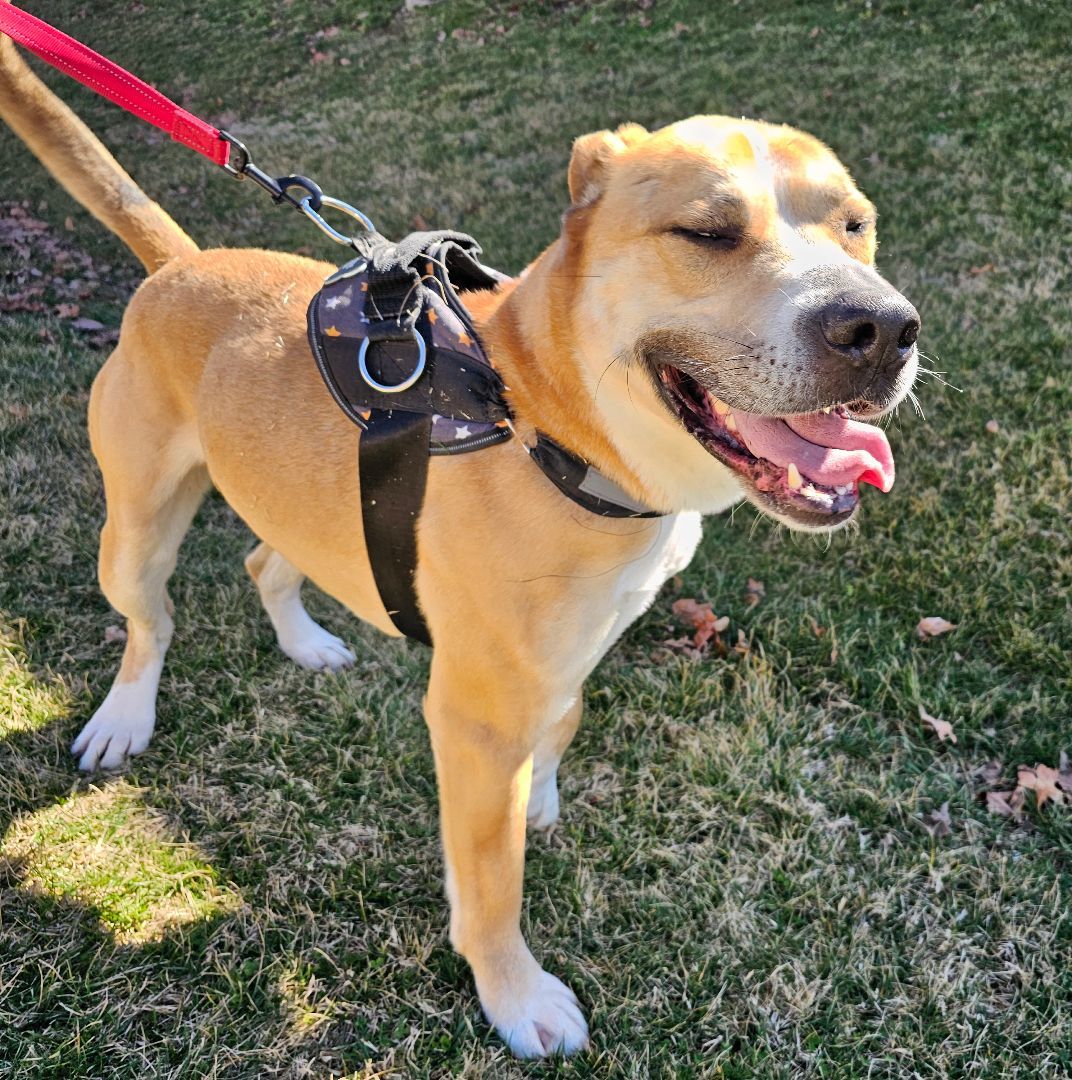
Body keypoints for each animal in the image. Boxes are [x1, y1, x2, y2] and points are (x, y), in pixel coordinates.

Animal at [2, 29, 919, 1058]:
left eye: (856, 226)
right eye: (709, 233)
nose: (882, 327)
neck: (546, 419)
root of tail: (180, 265)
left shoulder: (574, 645)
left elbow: (563, 719)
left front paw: (543, 792)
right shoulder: (474, 715)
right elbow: (491, 880)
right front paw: (513, 992)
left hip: (298, 506)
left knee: (262, 560)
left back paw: (307, 643)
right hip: (134, 529)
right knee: (150, 619)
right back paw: (125, 718)